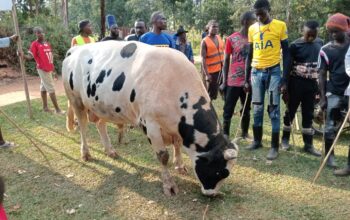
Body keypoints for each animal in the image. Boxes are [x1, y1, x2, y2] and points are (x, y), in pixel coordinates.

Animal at [62, 40, 238, 196]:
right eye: (220, 172)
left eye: (227, 173)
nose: (211, 194)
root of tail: (75, 49)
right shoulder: (150, 124)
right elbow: (163, 156)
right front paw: (169, 185)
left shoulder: (175, 127)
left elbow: (177, 145)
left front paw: (180, 166)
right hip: (76, 100)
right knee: (83, 127)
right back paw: (85, 153)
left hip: (102, 105)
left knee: (100, 125)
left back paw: (110, 150)